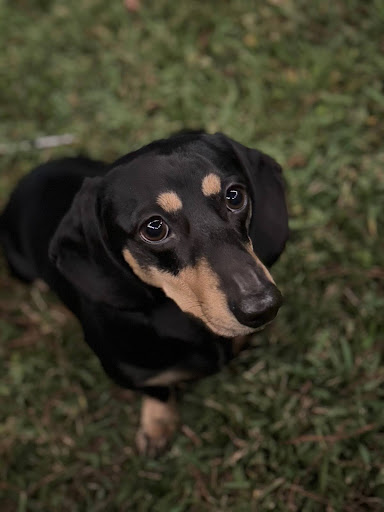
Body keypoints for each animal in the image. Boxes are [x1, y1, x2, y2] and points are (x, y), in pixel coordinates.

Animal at [0, 132, 288, 456]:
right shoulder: (132, 373)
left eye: (234, 196)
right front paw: (157, 427)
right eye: (154, 228)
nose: (263, 307)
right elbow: (158, 393)